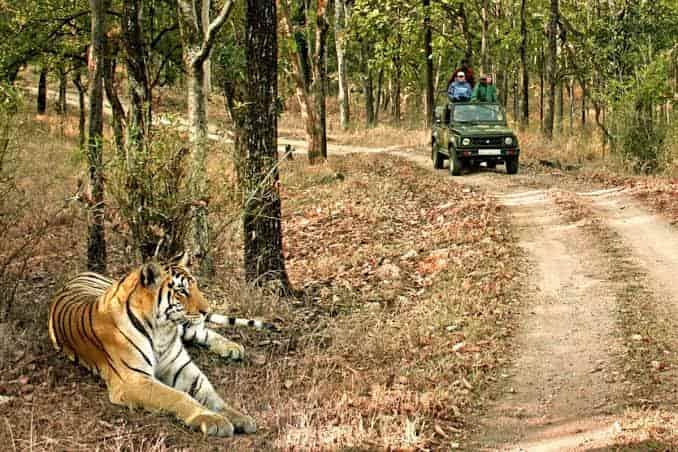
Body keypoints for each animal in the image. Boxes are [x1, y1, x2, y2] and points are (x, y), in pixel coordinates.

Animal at [48, 260, 257, 436]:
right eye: (182, 291)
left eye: (196, 286)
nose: (206, 311)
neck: (162, 330)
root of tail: (81, 273)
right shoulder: (133, 380)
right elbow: (177, 396)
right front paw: (213, 420)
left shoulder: (182, 368)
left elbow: (212, 395)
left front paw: (239, 417)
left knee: (202, 331)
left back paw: (233, 348)